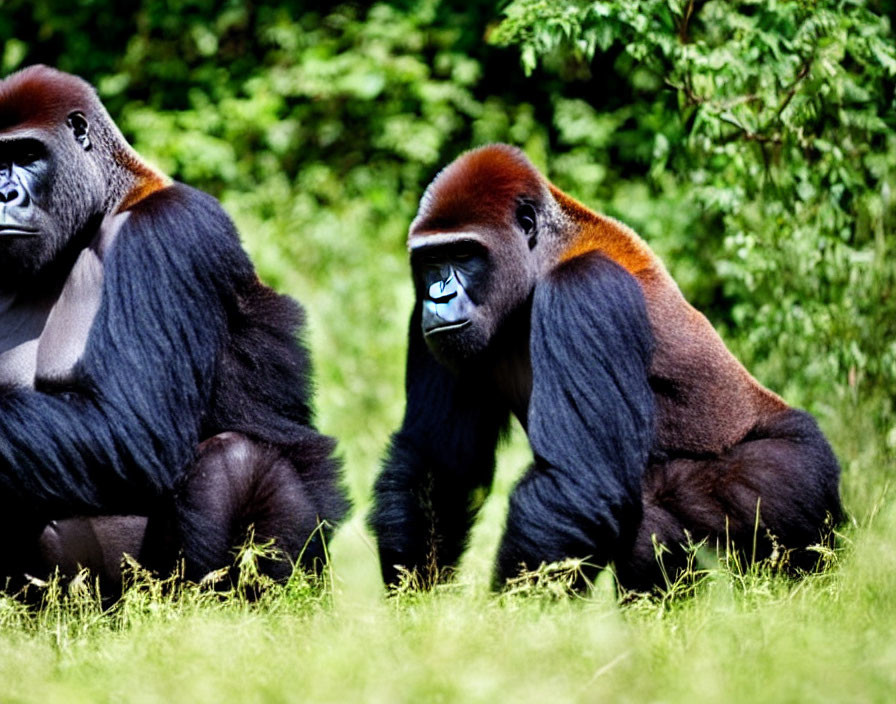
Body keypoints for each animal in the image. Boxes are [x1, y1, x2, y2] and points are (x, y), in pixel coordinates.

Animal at [0, 66, 348, 588]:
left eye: (26, 155)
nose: (2, 195)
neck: (108, 199)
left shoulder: (169, 230)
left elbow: (133, 429)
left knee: (235, 461)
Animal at [370, 144, 840, 592]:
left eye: (465, 253)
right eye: (431, 260)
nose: (439, 297)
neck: (543, 259)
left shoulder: (584, 287)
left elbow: (578, 484)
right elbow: (439, 462)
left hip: (799, 470)